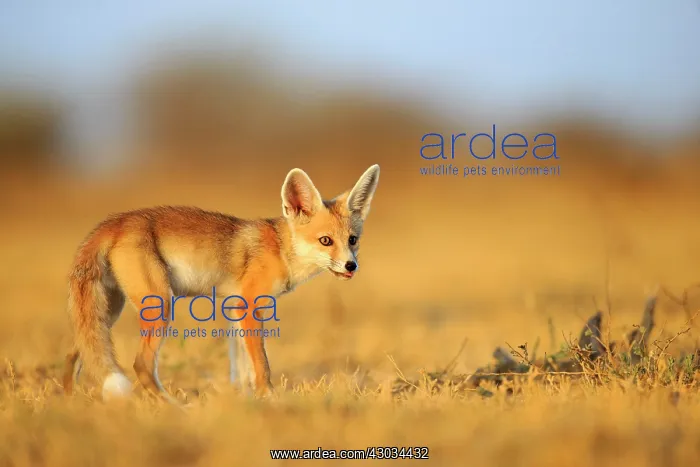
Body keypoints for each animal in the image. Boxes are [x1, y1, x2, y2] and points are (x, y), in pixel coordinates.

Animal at [63, 164, 380, 403]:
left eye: (352, 240)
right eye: (325, 241)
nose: (351, 266)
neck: (280, 249)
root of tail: (114, 221)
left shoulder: (235, 309)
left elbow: (242, 370)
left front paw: (247, 403)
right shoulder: (250, 306)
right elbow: (261, 365)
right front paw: (270, 399)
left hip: (106, 313)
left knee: (75, 354)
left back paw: (68, 404)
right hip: (160, 304)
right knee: (141, 365)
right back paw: (174, 408)